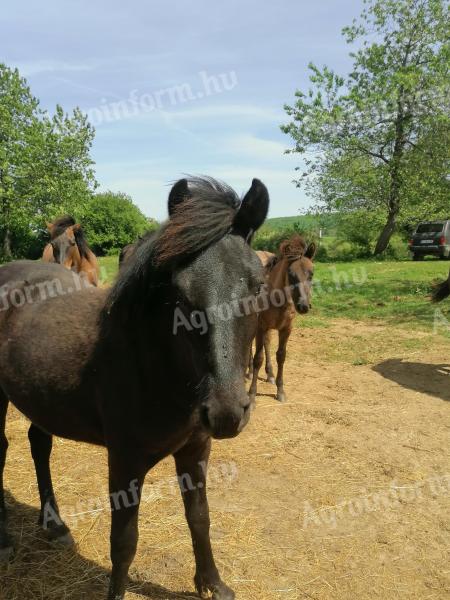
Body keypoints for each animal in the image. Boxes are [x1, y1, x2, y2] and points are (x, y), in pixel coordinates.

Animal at [0, 177, 268, 600]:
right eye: (179, 295)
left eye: (258, 287)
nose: (226, 412)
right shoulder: (125, 460)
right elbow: (124, 542)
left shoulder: (196, 449)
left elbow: (200, 517)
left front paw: (212, 583)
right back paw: (5, 540)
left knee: (38, 444)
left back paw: (55, 525)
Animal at [250, 234, 316, 404]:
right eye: (291, 274)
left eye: (311, 274)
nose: (303, 306)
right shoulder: (260, 326)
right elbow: (257, 358)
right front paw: (252, 395)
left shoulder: (286, 329)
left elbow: (281, 356)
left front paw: (280, 391)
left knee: (266, 344)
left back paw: (270, 375)